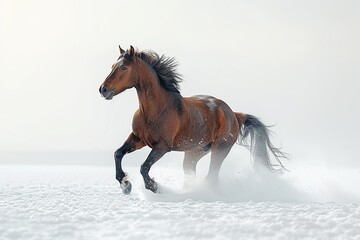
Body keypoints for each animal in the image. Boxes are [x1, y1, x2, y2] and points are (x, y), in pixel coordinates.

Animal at [98, 45, 286, 195]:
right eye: (113, 66)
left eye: (124, 68)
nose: (103, 90)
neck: (156, 110)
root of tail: (234, 114)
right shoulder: (138, 139)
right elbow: (118, 153)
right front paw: (125, 184)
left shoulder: (162, 147)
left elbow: (144, 167)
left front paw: (153, 186)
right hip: (194, 152)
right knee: (192, 172)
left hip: (219, 150)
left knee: (212, 176)